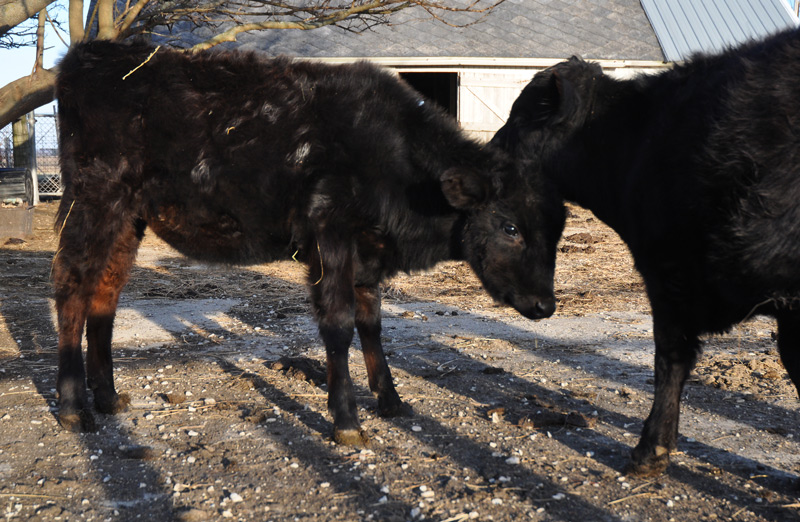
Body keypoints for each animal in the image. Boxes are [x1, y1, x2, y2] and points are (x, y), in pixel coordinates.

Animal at [53, 40, 565, 445]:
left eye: (557, 229)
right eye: (511, 228)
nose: (545, 305)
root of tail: (90, 54)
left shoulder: (367, 253)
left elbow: (372, 323)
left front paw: (391, 400)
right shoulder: (330, 234)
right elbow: (338, 325)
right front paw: (347, 420)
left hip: (128, 220)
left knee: (105, 296)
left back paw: (108, 397)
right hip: (94, 202)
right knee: (71, 289)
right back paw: (73, 408)